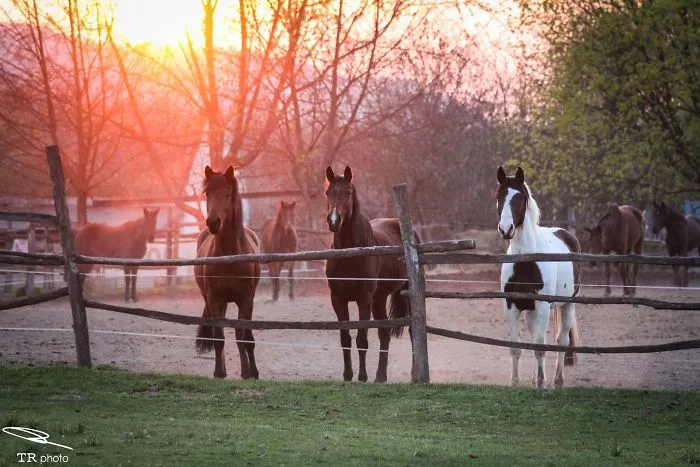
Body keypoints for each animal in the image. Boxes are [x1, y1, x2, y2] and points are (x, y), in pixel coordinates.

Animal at [194, 165, 261, 379]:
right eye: (207, 193)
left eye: (227, 193)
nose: (213, 223)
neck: (230, 256)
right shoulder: (215, 300)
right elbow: (219, 338)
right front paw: (219, 372)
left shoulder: (247, 300)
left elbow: (245, 338)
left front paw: (252, 372)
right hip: (214, 301)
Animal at [324, 165, 419, 383]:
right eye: (327, 193)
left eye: (348, 193)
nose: (333, 221)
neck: (350, 252)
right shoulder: (338, 299)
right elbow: (345, 338)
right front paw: (348, 375)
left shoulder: (364, 299)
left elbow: (362, 339)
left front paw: (362, 376)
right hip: (379, 298)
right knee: (384, 334)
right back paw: (380, 376)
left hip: (404, 293)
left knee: (412, 332)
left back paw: (413, 373)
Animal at [496, 166, 580, 388]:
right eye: (499, 196)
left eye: (519, 198)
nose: (505, 229)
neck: (526, 260)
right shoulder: (511, 305)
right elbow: (516, 347)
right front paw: (515, 382)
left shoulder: (543, 305)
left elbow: (541, 347)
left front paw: (542, 383)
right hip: (531, 312)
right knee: (535, 338)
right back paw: (534, 380)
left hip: (568, 305)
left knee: (561, 341)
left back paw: (556, 381)